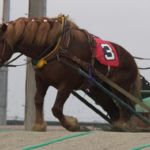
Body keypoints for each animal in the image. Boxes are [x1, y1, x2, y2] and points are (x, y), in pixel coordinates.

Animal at [0, 14, 142, 131]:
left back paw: (123, 125)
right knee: (115, 111)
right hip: (99, 91)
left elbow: (56, 109)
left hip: (119, 88)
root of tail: (132, 60)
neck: (56, 47)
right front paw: (39, 125)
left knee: (128, 109)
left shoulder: (67, 84)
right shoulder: (41, 79)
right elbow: (38, 100)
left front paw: (71, 124)